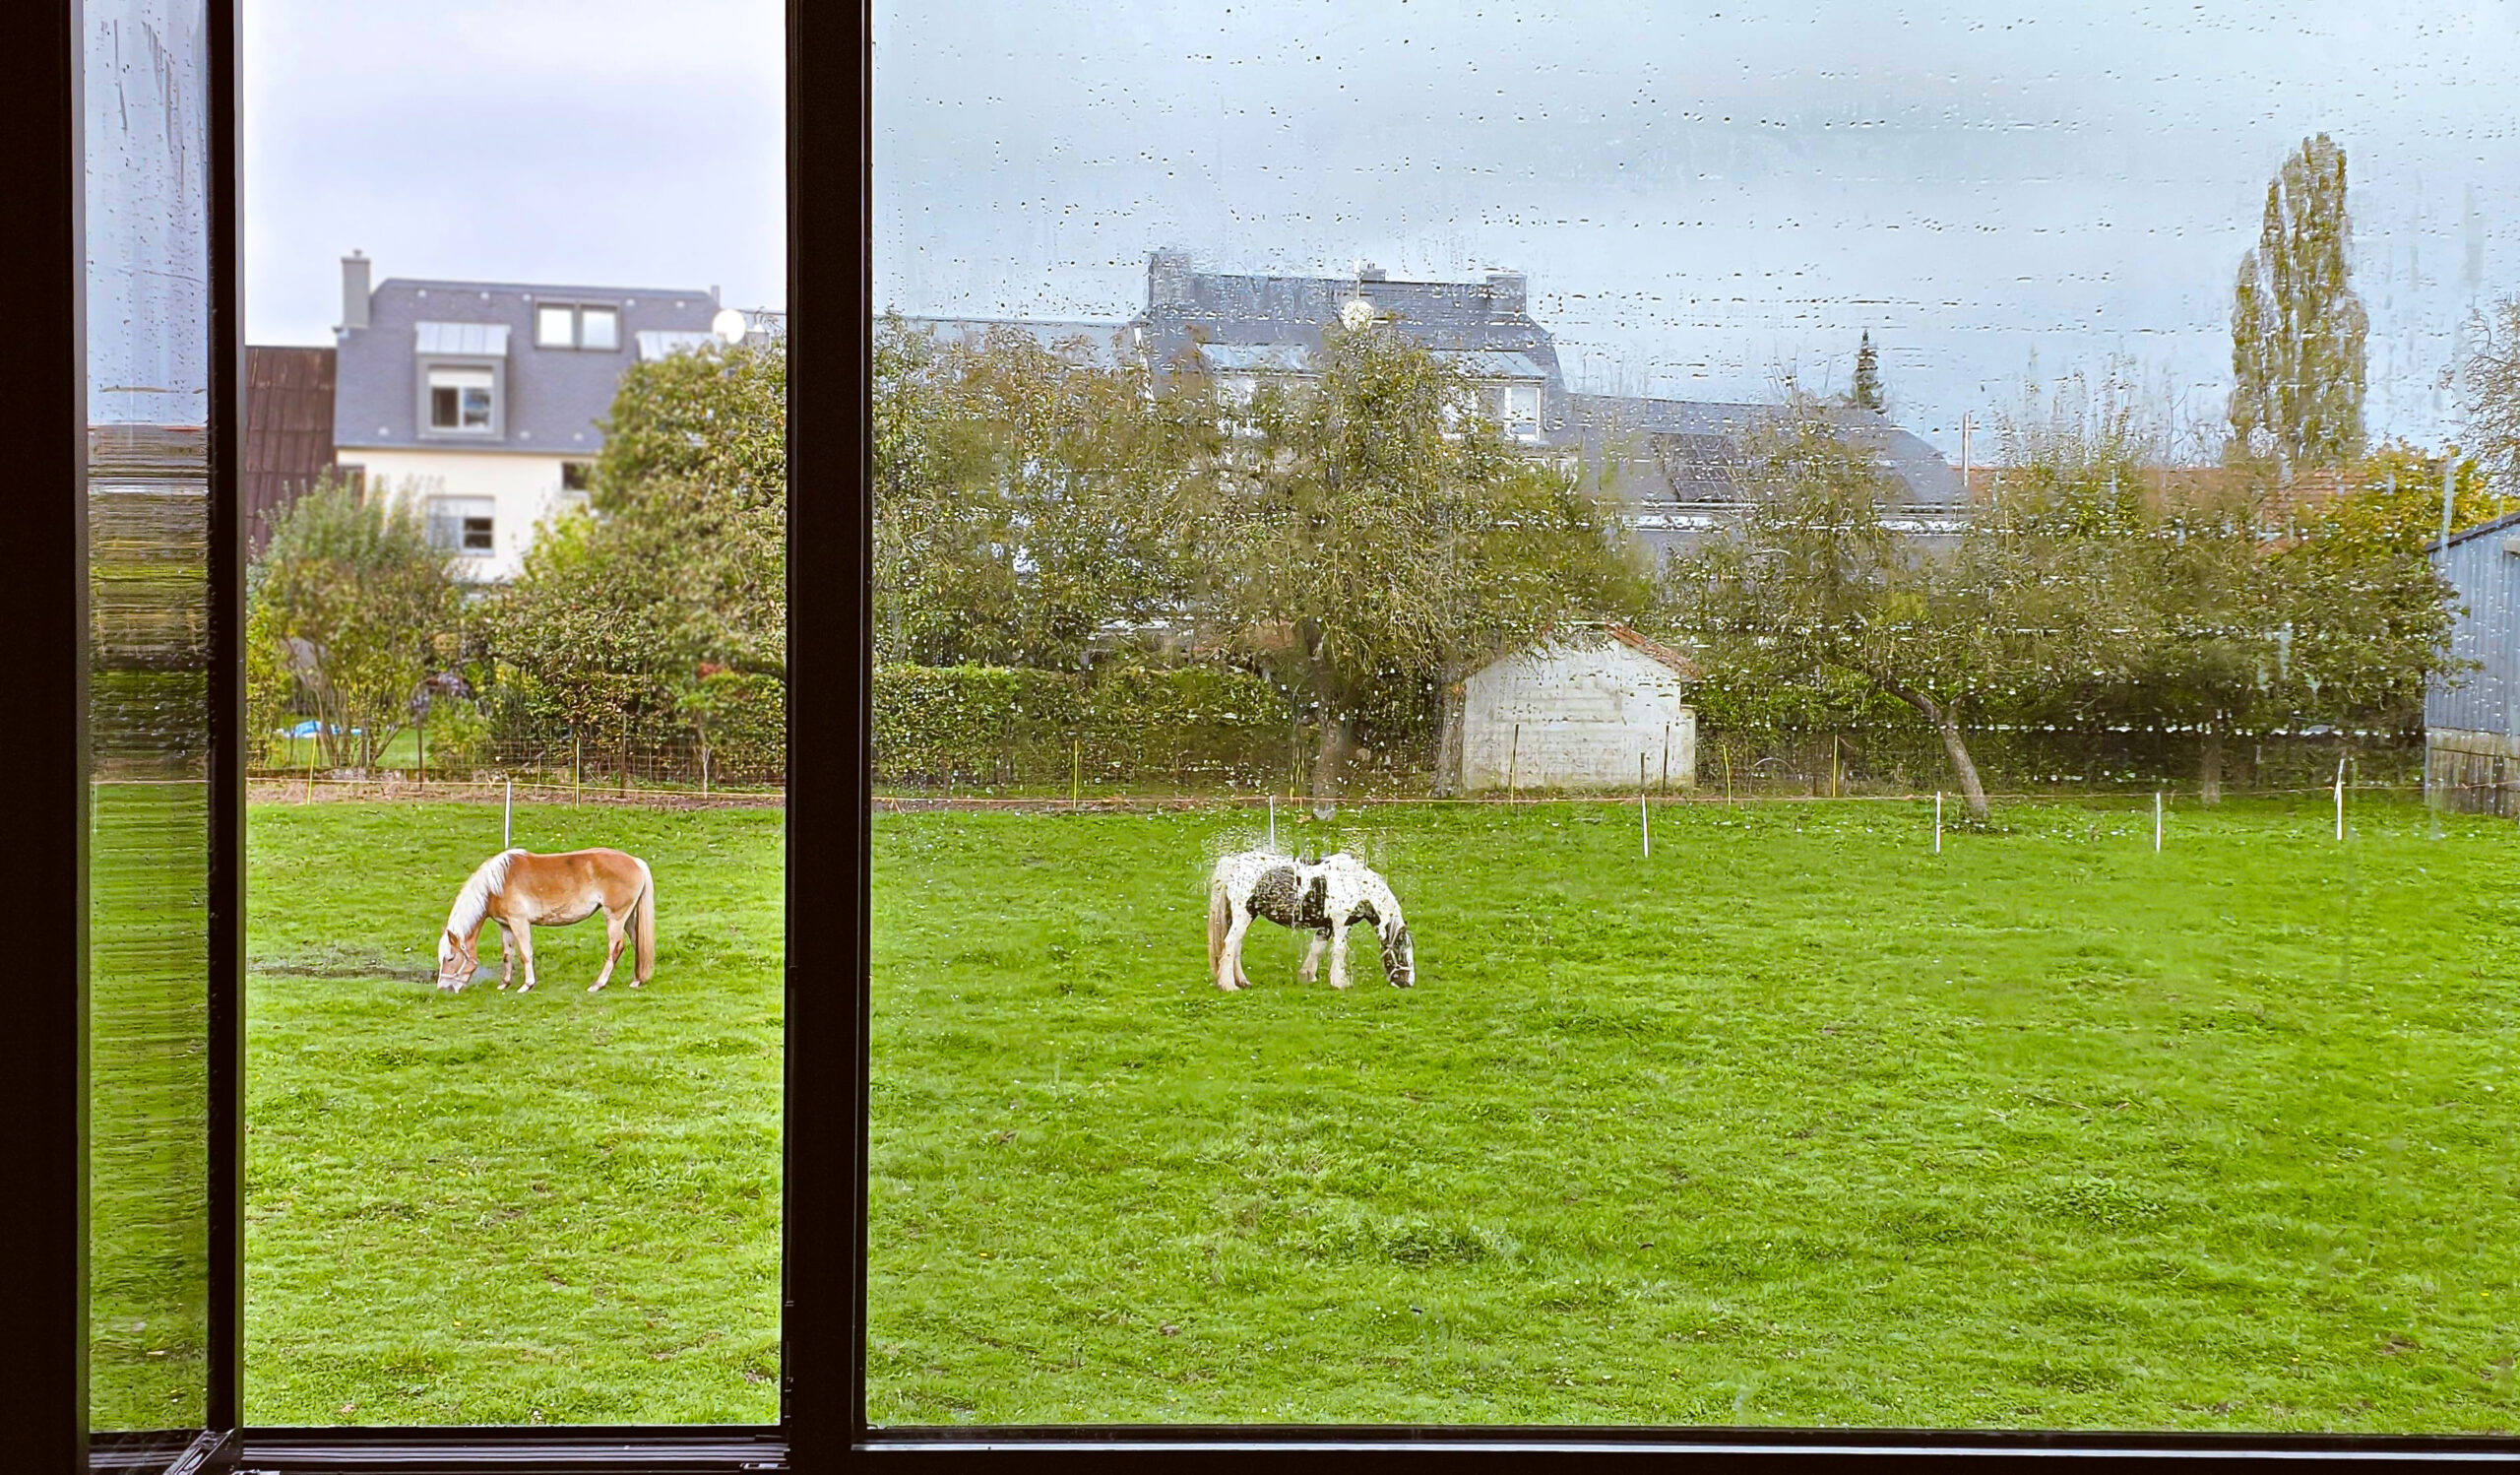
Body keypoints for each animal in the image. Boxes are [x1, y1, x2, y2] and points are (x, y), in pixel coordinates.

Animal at [434, 848, 656, 993]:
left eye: (451, 958)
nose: (444, 988)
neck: (497, 884)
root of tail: (636, 862)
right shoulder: (505, 925)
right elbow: (507, 954)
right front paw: (505, 983)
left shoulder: (519, 922)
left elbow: (525, 953)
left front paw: (527, 984)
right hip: (629, 918)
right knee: (638, 943)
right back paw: (637, 980)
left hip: (615, 917)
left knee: (616, 948)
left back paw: (598, 984)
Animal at [1206, 849, 1415, 992]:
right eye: (1401, 951)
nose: (1407, 983)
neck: (1356, 883)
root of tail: (1233, 864)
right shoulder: (1341, 924)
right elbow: (1338, 951)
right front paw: (1339, 983)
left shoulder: (1327, 926)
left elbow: (1317, 949)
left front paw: (1308, 976)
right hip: (1243, 916)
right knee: (1230, 944)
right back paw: (1228, 985)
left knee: (1236, 947)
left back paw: (1242, 981)